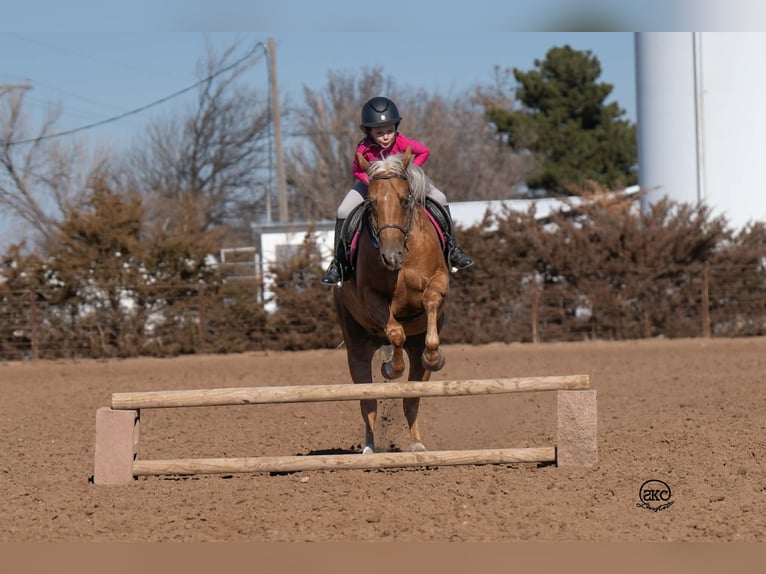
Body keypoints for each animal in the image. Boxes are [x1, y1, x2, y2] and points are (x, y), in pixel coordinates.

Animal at [333, 148, 450, 454]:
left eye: (405, 200)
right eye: (371, 204)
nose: (390, 257)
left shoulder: (440, 279)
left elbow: (431, 301)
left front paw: (435, 356)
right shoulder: (372, 298)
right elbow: (395, 331)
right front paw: (390, 368)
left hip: (414, 358)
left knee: (412, 398)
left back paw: (417, 444)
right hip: (357, 349)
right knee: (368, 402)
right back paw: (369, 448)